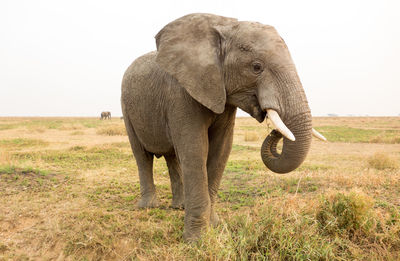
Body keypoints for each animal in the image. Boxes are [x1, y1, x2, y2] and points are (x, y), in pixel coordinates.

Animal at [120, 13, 326, 242]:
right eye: (256, 67)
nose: (273, 129)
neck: (226, 25)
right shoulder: (181, 93)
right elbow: (195, 149)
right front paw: (196, 241)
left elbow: (221, 150)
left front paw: (215, 226)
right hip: (126, 107)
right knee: (142, 156)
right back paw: (148, 207)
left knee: (172, 157)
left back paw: (179, 207)